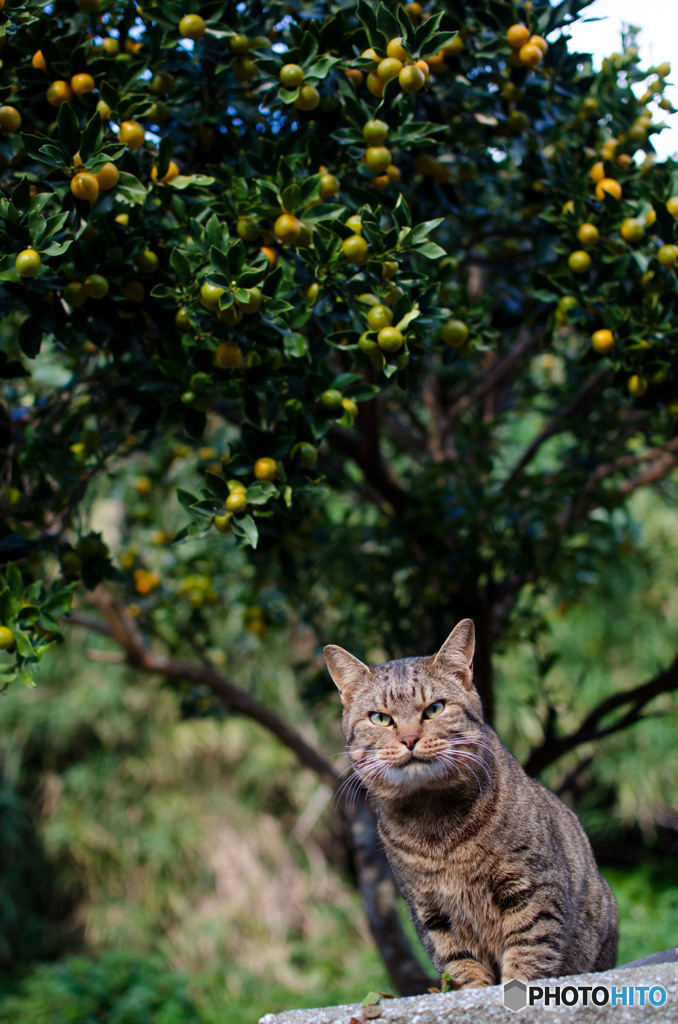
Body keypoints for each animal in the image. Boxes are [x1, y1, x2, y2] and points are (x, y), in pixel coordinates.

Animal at [325, 618, 622, 987]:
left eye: (435, 708)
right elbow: (462, 969)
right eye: (379, 718)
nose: (409, 739)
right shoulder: (433, 915)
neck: (434, 824)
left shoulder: (534, 891)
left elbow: (526, 961)